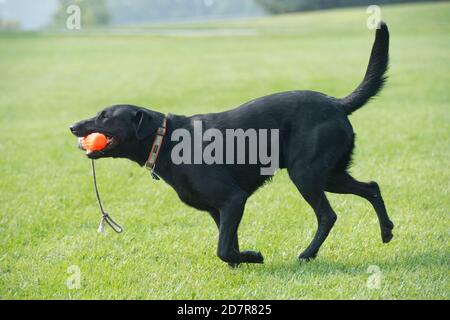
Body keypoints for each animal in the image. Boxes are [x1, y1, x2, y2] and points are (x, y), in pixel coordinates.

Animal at [70, 23, 394, 264]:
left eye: (104, 116)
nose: (72, 127)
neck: (166, 141)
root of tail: (337, 103)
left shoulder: (232, 199)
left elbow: (223, 249)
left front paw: (254, 257)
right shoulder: (220, 210)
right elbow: (229, 244)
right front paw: (243, 259)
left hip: (306, 173)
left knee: (328, 215)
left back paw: (307, 253)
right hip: (330, 174)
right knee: (372, 187)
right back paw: (387, 231)